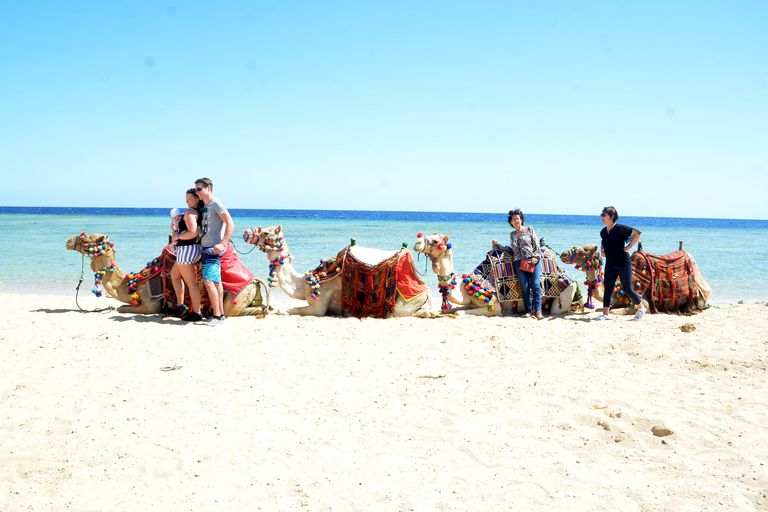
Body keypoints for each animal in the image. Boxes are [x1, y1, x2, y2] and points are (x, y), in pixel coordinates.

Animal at [67, 232, 270, 316]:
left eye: (86, 239)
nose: (69, 241)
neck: (134, 283)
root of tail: (254, 281)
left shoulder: (151, 305)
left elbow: (120, 308)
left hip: (236, 298)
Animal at [243, 226, 436, 318]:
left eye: (266, 232)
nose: (246, 233)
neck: (305, 283)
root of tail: (425, 289)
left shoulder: (319, 304)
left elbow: (284, 310)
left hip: (403, 305)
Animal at [414, 233, 576, 316]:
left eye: (435, 241)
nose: (417, 243)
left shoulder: (496, 306)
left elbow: (460, 313)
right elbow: (451, 309)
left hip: (565, 293)